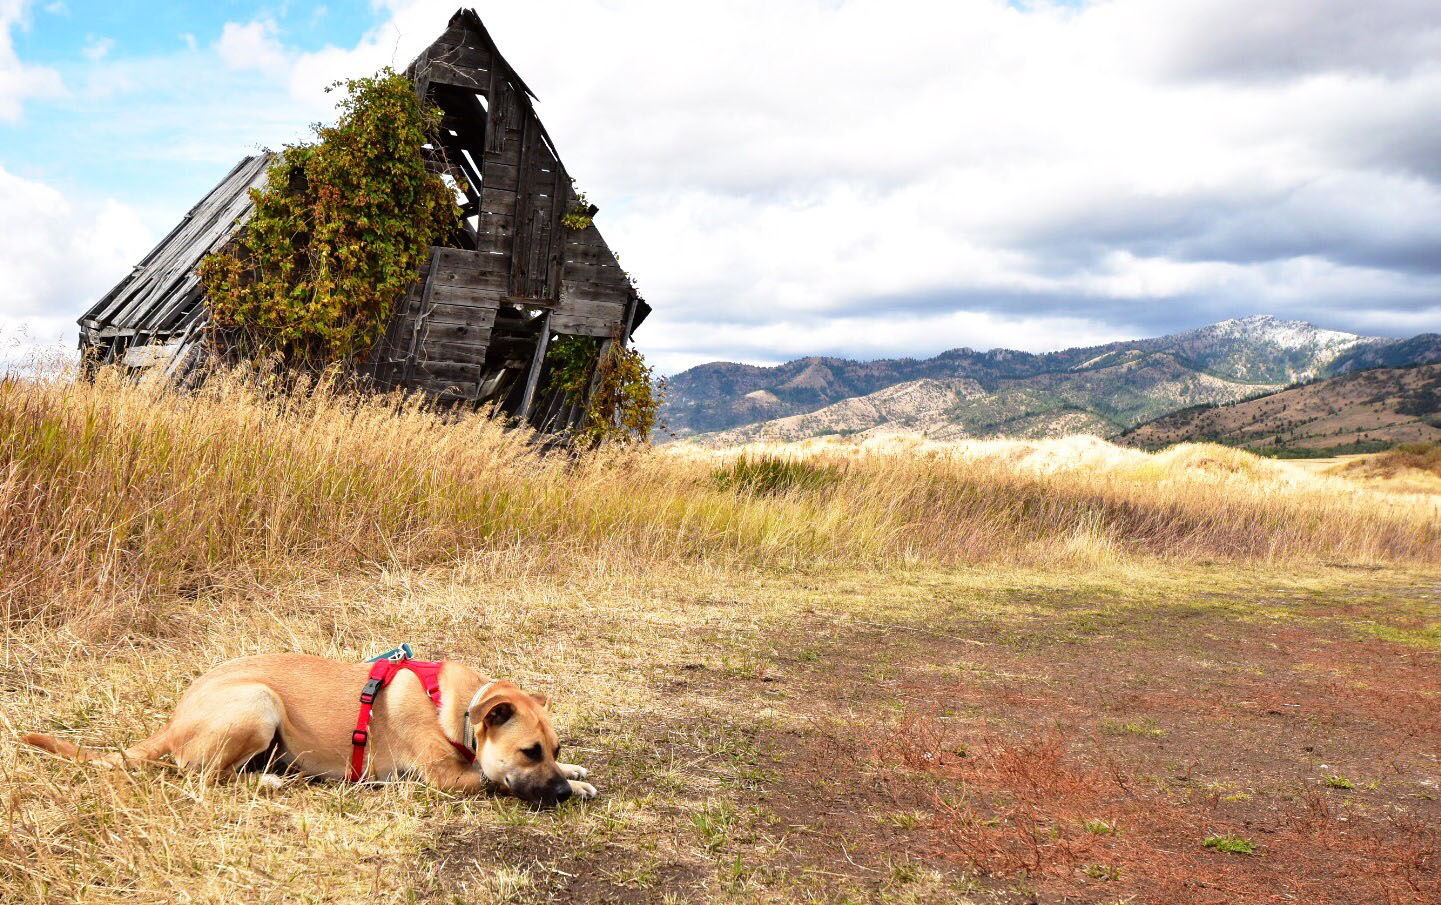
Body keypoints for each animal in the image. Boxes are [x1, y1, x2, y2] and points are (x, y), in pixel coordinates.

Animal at [22, 651, 596, 807]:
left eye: (552, 747)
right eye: (528, 752)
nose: (561, 795)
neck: (459, 709)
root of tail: (173, 720)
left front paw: (578, 775)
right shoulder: (447, 777)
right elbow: (489, 777)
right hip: (259, 703)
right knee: (202, 776)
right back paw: (272, 780)